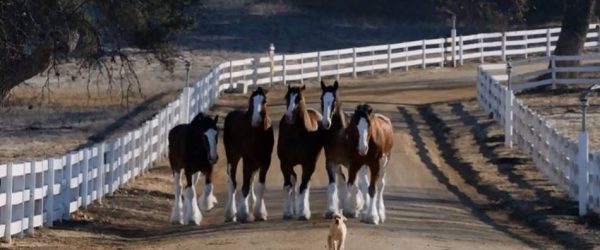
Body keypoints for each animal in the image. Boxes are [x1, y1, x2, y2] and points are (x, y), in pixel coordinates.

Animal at [223, 86, 274, 223]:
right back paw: (230, 214)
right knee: (233, 183)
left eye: (264, 101)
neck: (258, 134)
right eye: (251, 101)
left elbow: (260, 186)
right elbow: (244, 185)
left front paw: (260, 213)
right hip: (232, 157)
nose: (255, 120)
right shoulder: (247, 159)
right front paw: (243, 213)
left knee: (250, 180)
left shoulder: (265, 161)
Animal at [278, 85, 324, 220]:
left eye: (299, 98)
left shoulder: (308, 164)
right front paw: (287, 213)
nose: (289, 116)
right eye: (286, 97)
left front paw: (303, 213)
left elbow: (303, 186)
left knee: (305, 183)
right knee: (294, 179)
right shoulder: (285, 163)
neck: (296, 135)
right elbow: (288, 185)